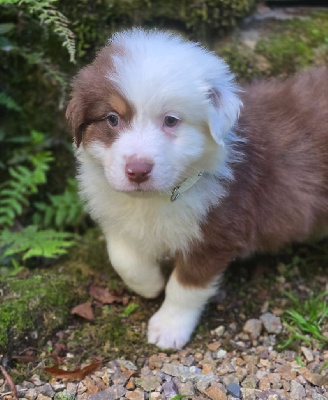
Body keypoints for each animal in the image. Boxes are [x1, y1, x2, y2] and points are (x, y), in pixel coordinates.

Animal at [66, 28, 328, 348]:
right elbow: (123, 257)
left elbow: (185, 287)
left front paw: (168, 328)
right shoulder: (113, 209)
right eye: (112, 119)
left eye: (171, 120)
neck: (156, 198)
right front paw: (150, 285)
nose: (138, 170)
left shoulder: (216, 233)